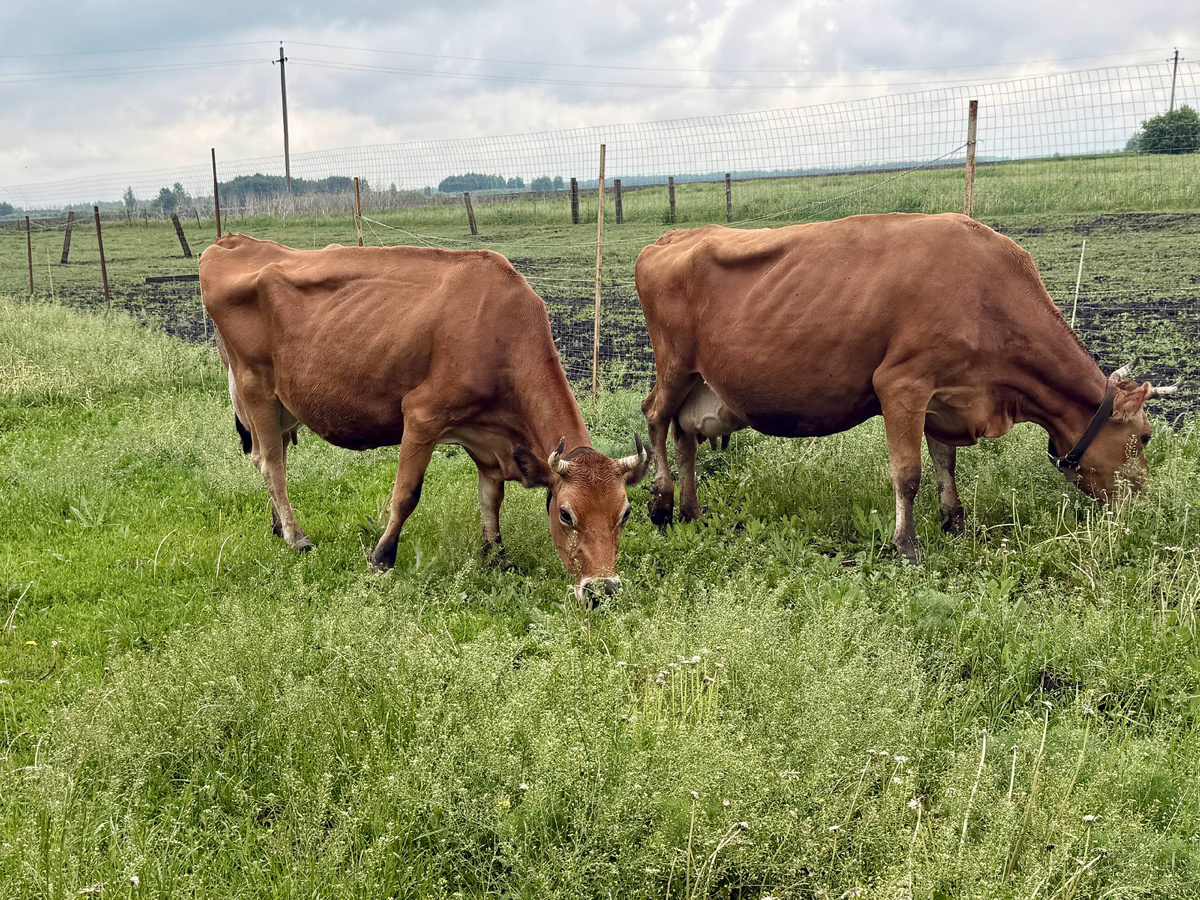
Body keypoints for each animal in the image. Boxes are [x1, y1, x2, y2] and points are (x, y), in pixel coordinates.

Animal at [199, 235, 649, 603]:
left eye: (625, 513)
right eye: (566, 514)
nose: (603, 590)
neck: (501, 329)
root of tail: (230, 242)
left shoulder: (487, 438)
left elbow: (491, 497)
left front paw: (495, 554)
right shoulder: (421, 415)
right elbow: (406, 494)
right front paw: (381, 557)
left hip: (283, 405)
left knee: (276, 459)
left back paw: (280, 526)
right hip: (254, 386)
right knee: (270, 464)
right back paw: (297, 538)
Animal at [635, 214, 1178, 562]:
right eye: (1146, 437)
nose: (1143, 502)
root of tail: (674, 235)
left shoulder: (946, 397)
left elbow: (945, 464)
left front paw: (955, 521)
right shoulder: (901, 384)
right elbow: (909, 474)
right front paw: (907, 546)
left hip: (700, 381)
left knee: (684, 436)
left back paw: (691, 510)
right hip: (674, 365)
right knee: (655, 417)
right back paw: (662, 503)